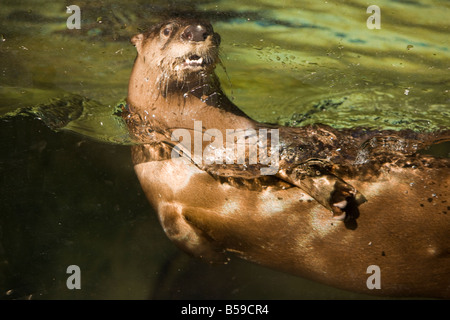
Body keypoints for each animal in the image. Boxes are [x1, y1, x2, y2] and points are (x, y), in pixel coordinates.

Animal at [123, 16, 450, 298]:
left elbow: (296, 165)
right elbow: (180, 236)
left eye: (210, 26)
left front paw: (334, 194)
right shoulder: (161, 196)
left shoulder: (267, 145)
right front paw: (216, 258)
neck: (201, 136)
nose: (197, 31)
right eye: (167, 30)